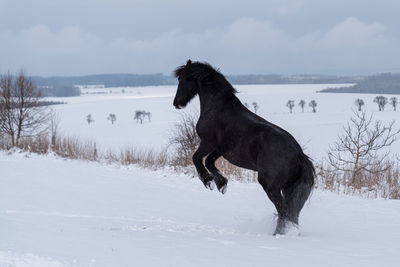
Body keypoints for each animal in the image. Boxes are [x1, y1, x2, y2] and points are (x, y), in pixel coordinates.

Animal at [173, 60, 314, 234]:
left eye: (182, 79)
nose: (176, 103)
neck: (217, 107)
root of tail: (299, 155)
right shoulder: (221, 150)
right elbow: (209, 162)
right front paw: (221, 184)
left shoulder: (208, 143)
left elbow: (197, 158)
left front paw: (208, 182)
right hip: (289, 189)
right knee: (291, 215)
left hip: (271, 186)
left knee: (284, 212)